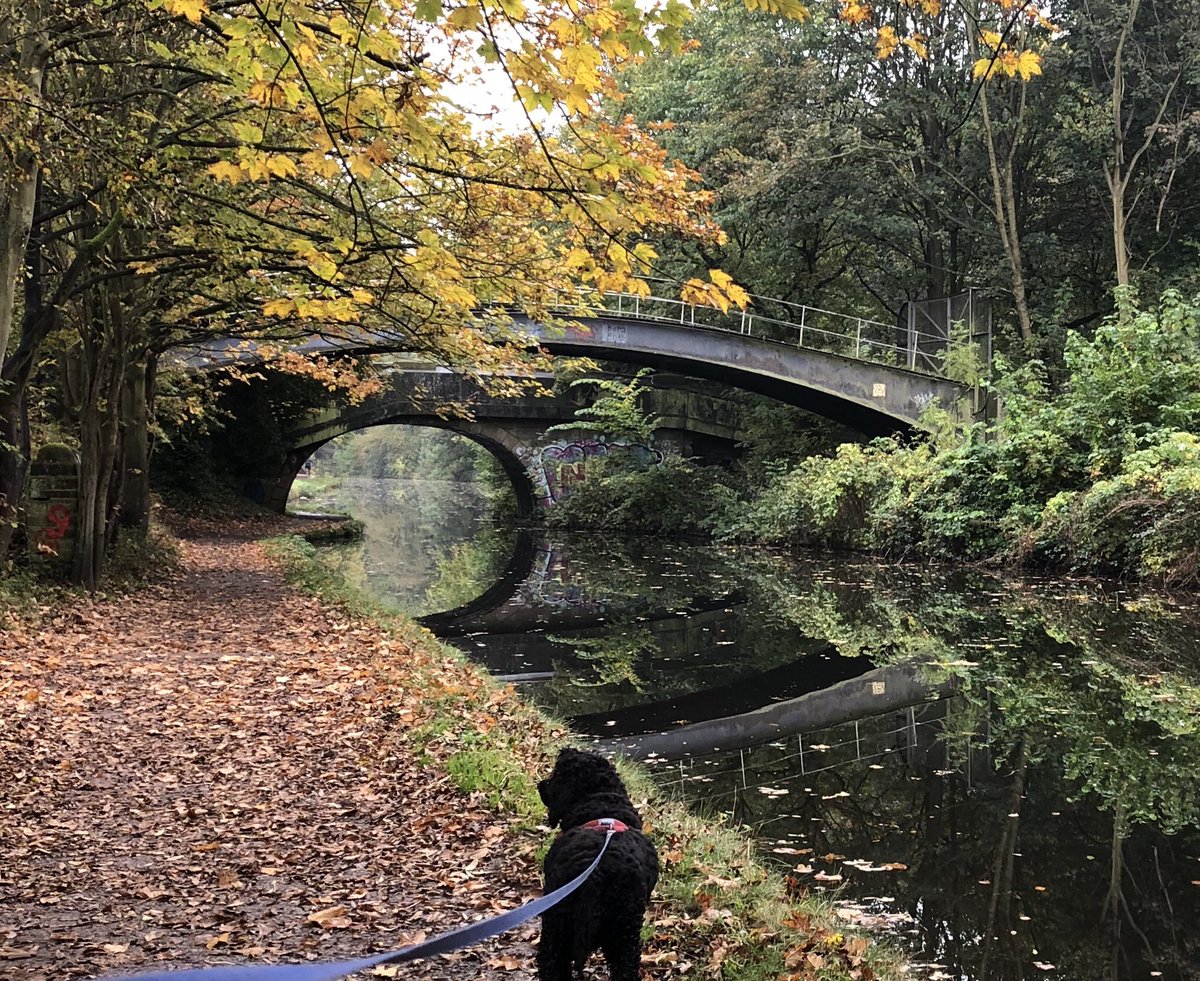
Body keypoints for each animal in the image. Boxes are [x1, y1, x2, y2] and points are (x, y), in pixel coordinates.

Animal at [540, 743, 662, 978]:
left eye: (556, 775)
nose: (540, 785)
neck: (602, 807)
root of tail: (595, 876)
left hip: (558, 932)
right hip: (623, 938)